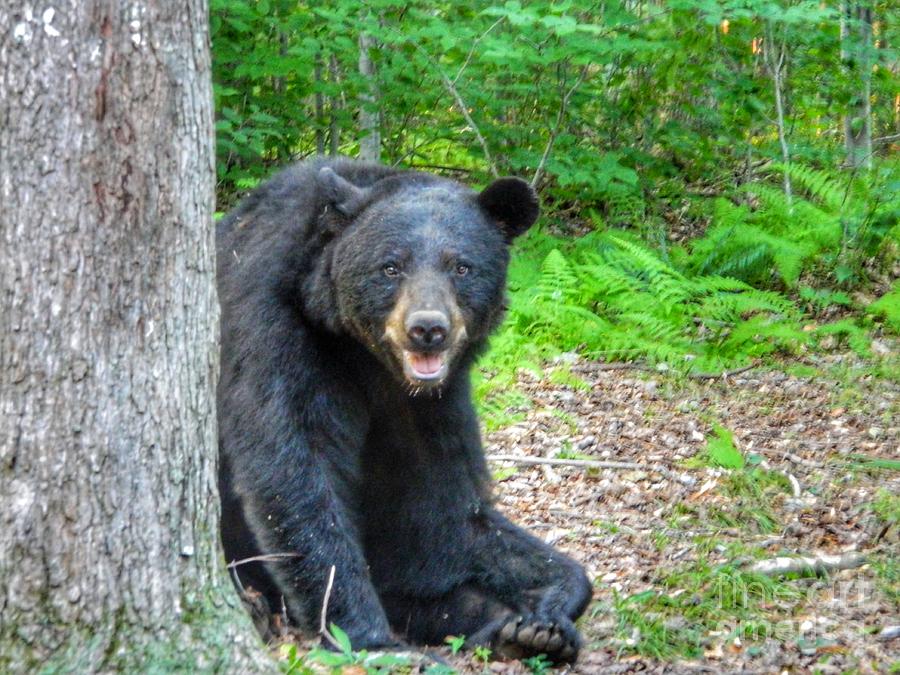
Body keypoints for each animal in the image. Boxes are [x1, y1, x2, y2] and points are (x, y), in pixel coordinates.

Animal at [215, 157, 596, 660]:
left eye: (462, 266)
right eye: (390, 266)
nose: (427, 328)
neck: (369, 361)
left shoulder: (431, 407)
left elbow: (441, 508)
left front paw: (553, 597)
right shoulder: (276, 327)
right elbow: (296, 470)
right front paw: (366, 634)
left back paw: (523, 631)